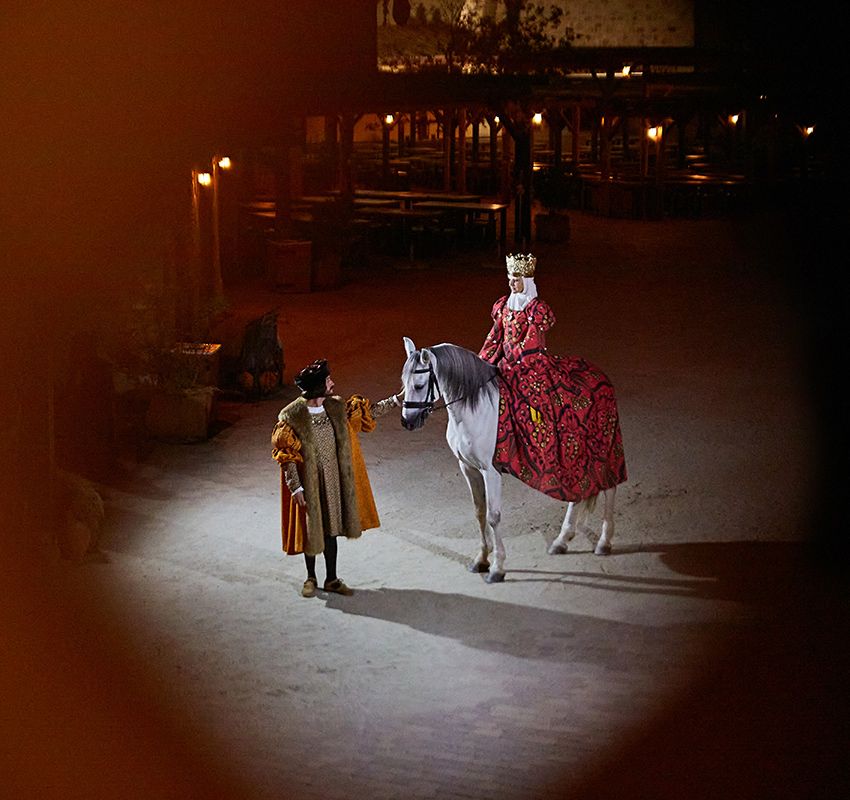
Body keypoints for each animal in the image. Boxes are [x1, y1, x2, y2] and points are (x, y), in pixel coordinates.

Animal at [400, 334, 612, 584]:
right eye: (404, 383)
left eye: (419, 385)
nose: (408, 422)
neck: (474, 411)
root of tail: (599, 373)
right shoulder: (468, 468)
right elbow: (479, 512)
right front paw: (481, 560)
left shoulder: (490, 471)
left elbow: (493, 516)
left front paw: (497, 568)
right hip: (575, 454)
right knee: (579, 492)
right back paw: (562, 541)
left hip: (604, 447)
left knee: (609, 487)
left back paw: (604, 543)